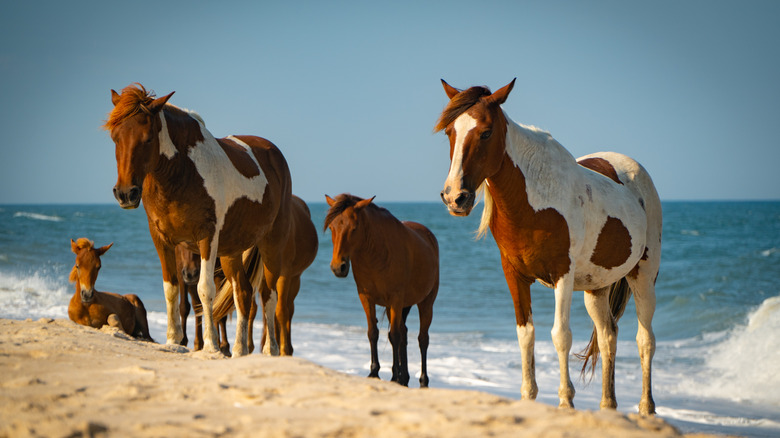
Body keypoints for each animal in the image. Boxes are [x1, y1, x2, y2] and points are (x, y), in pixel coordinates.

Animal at [105, 84, 294, 358]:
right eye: (115, 138)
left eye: (148, 138)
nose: (126, 193)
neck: (183, 172)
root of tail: (273, 153)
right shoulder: (161, 239)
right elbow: (171, 289)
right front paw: (173, 340)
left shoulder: (207, 237)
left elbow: (205, 290)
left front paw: (211, 346)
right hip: (231, 251)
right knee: (243, 293)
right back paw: (239, 350)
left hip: (272, 244)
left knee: (268, 294)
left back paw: (270, 350)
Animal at [322, 195, 438, 386]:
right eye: (332, 227)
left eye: (354, 228)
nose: (338, 267)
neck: (375, 254)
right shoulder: (366, 298)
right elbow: (374, 333)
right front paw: (375, 372)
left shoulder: (395, 299)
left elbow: (394, 335)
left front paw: (394, 376)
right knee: (404, 334)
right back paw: (404, 378)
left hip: (425, 303)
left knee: (422, 339)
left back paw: (422, 380)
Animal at [436, 79, 660, 414]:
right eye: (450, 131)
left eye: (486, 132)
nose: (455, 197)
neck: (534, 201)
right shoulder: (513, 275)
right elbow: (525, 334)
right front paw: (528, 396)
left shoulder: (561, 275)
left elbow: (560, 336)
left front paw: (566, 400)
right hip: (597, 287)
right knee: (608, 336)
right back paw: (607, 405)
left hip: (643, 275)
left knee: (645, 339)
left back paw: (646, 408)